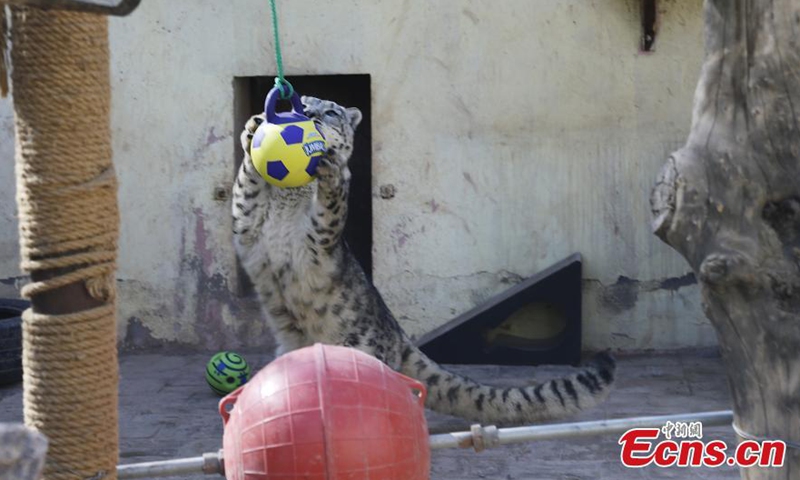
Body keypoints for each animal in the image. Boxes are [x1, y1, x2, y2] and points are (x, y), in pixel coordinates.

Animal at [228, 96, 616, 424]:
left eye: (331, 111)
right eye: (301, 103)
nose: (308, 115)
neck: (288, 199)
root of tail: (400, 335)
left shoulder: (319, 237)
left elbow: (330, 204)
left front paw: (330, 167)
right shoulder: (249, 227)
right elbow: (244, 190)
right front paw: (252, 128)